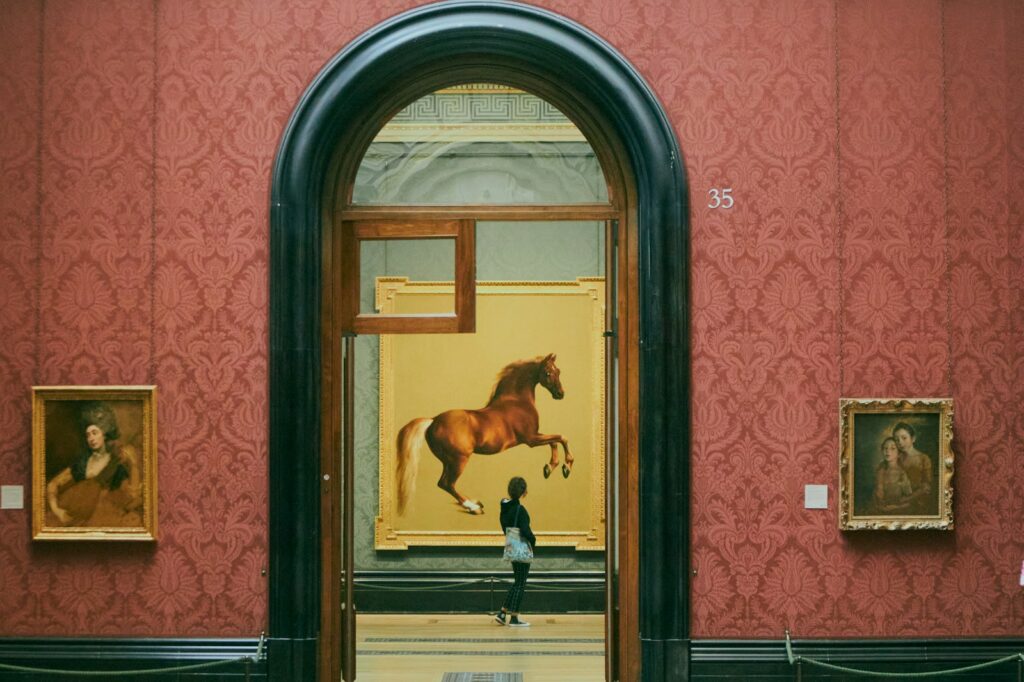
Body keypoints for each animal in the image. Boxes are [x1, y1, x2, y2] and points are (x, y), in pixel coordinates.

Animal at [395, 352, 573, 512]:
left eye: (559, 371)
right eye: (548, 373)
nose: (560, 394)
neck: (516, 401)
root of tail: (433, 420)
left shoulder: (535, 436)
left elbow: (554, 441)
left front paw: (549, 468)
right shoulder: (531, 439)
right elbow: (561, 438)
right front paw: (566, 467)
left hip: (447, 461)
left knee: (443, 483)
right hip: (459, 460)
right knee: (446, 483)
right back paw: (473, 507)